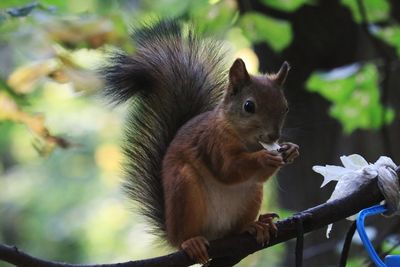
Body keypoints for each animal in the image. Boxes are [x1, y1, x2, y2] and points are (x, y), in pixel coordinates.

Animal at [101, 20, 298, 266]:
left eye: (285, 107)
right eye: (249, 106)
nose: (273, 137)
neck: (246, 140)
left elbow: (257, 174)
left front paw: (291, 150)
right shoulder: (212, 143)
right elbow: (228, 170)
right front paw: (264, 157)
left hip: (252, 194)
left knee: (237, 224)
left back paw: (254, 225)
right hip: (184, 188)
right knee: (183, 237)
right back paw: (191, 242)